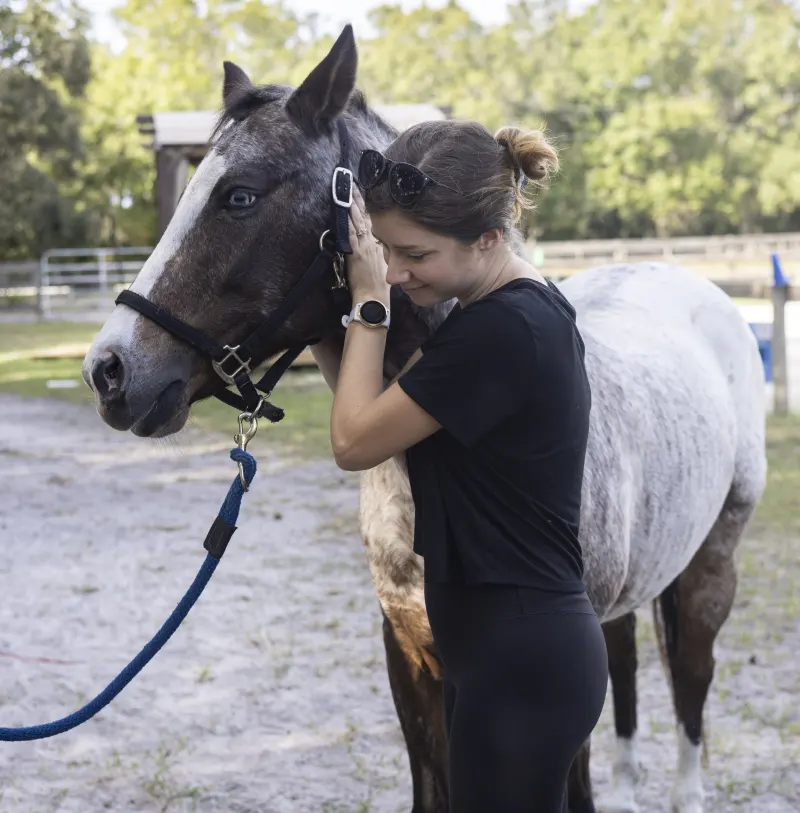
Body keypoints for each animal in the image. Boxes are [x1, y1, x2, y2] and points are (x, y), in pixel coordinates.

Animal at [81, 25, 767, 813]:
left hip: (713, 563)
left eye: (240, 195)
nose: (109, 370)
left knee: (691, 677)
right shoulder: (411, 659)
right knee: (628, 668)